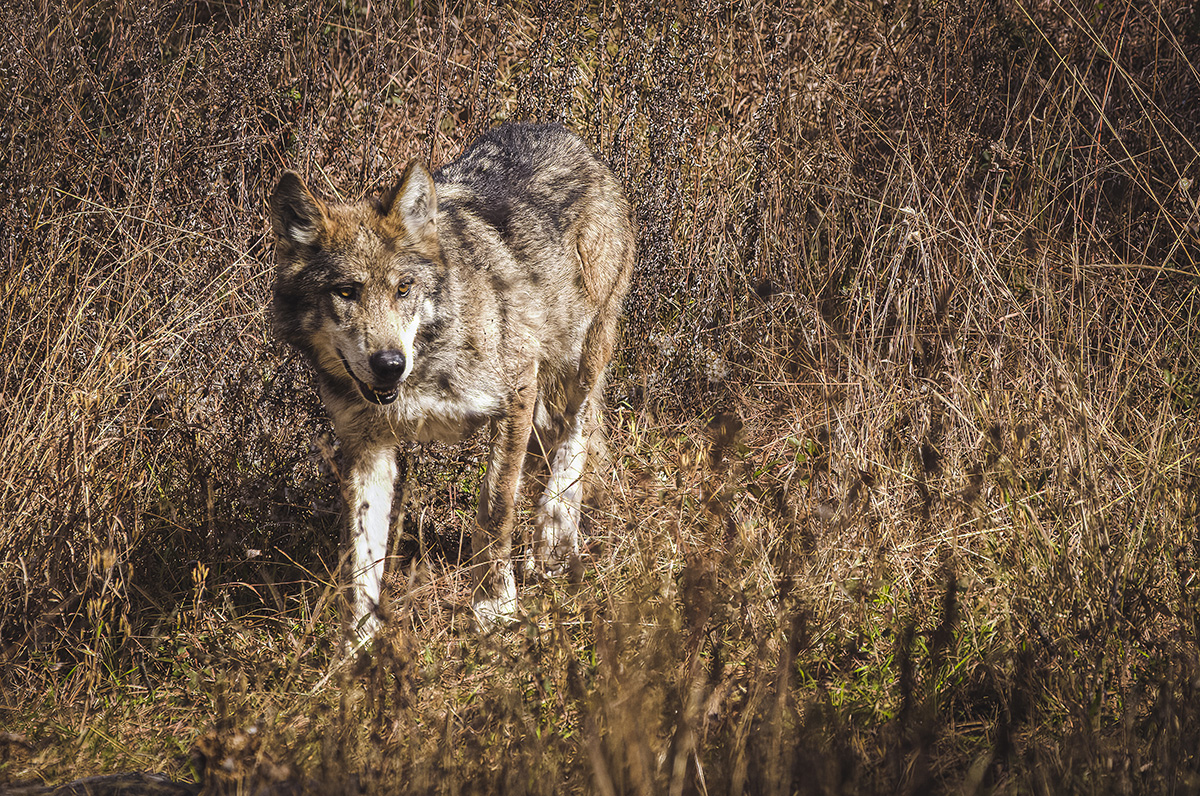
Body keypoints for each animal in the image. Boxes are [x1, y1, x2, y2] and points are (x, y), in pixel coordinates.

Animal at [266, 121, 633, 638]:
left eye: (404, 288)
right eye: (346, 292)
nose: (389, 364)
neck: (425, 366)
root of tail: (559, 131)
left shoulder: (518, 392)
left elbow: (495, 512)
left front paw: (494, 608)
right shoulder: (366, 447)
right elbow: (360, 562)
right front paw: (358, 647)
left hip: (578, 360)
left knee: (574, 435)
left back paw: (554, 537)